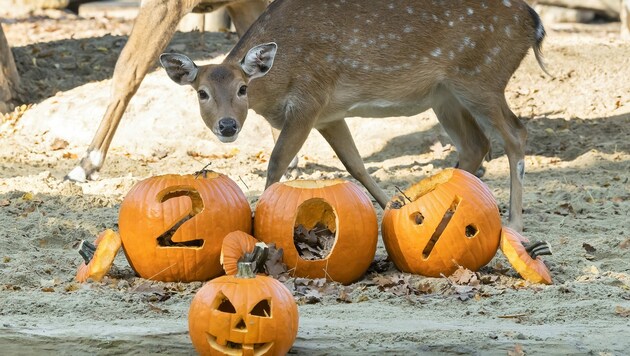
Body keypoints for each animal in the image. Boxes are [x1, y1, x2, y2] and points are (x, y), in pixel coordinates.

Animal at [159, 0, 552, 232]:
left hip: (481, 77)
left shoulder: (310, 98)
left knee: (515, 133)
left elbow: (277, 162)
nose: (227, 125)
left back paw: (515, 224)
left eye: (243, 89)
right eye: (202, 93)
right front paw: (391, 207)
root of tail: (534, 22)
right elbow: (355, 163)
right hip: (445, 94)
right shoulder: (329, 115)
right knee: (476, 144)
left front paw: (259, 226)